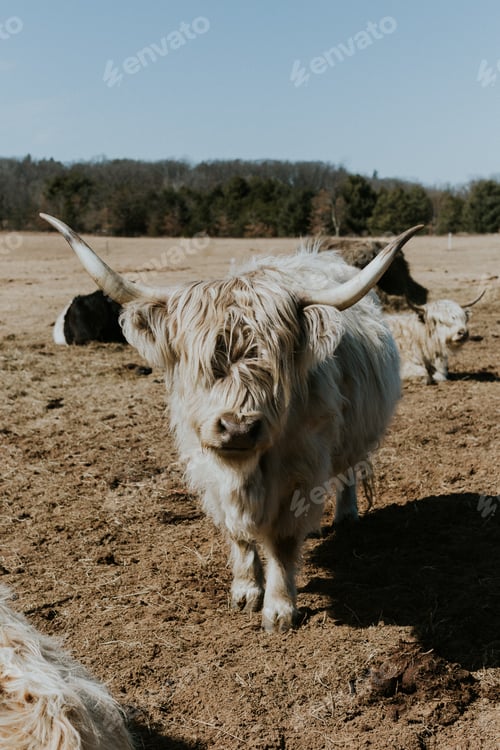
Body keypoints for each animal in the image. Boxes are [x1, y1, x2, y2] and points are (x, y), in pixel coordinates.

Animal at [41, 212, 422, 632]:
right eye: (204, 364)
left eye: (272, 364)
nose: (238, 428)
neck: (245, 473)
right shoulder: (207, 467)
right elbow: (237, 533)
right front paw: (245, 592)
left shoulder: (300, 468)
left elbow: (282, 542)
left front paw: (279, 609)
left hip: (355, 435)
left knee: (348, 471)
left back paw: (345, 516)